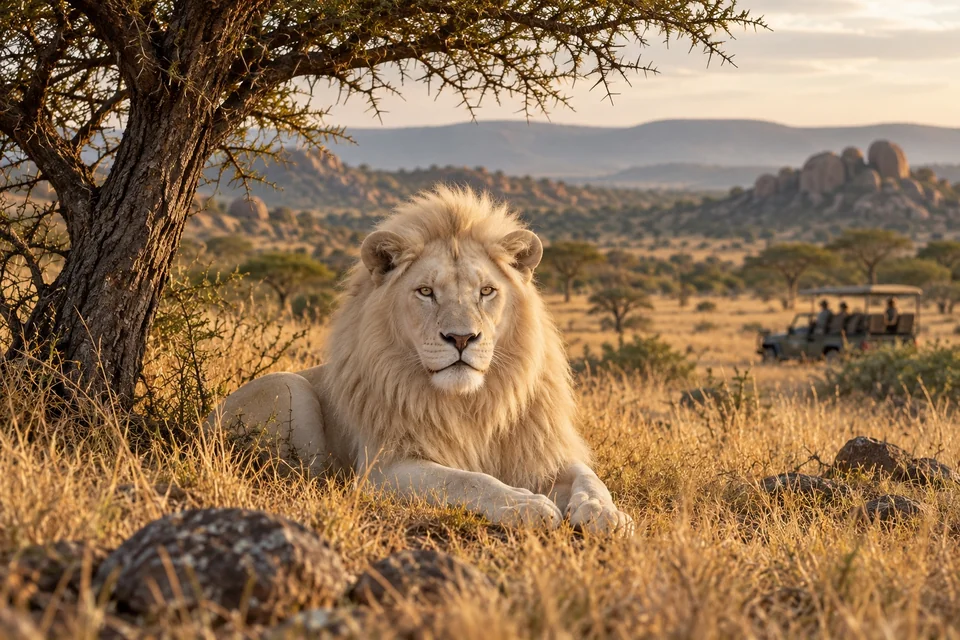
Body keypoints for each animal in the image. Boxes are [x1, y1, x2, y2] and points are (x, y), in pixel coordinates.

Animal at [209, 186, 633, 535]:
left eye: (486, 291)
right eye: (426, 291)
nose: (461, 338)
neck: (472, 404)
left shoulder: (541, 450)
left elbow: (590, 478)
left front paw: (606, 514)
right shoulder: (384, 469)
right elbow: (467, 479)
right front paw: (524, 505)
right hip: (289, 386)